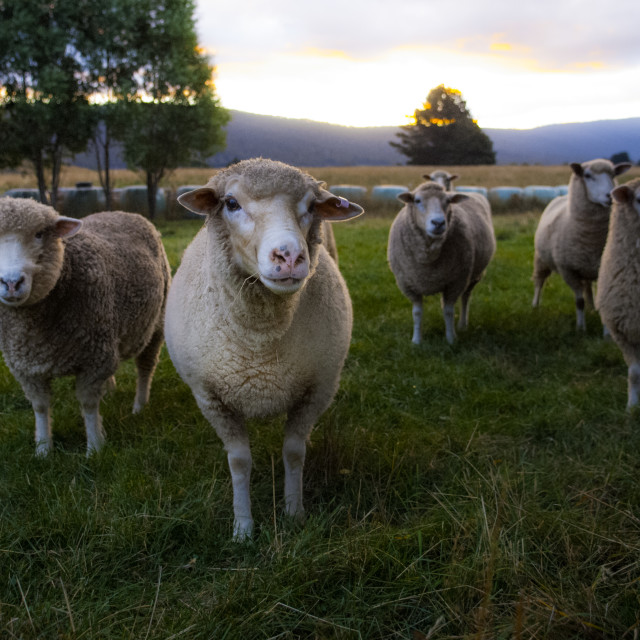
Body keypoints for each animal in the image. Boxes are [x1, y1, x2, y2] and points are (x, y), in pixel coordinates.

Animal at [0, 199, 171, 456]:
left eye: (39, 234)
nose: (11, 283)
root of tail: (118, 211)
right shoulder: (26, 368)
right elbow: (40, 407)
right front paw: (43, 449)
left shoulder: (94, 359)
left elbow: (88, 405)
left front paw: (95, 448)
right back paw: (109, 391)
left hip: (155, 324)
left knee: (145, 367)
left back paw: (139, 405)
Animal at [164, 158, 364, 536]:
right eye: (230, 203)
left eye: (311, 206)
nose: (289, 256)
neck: (261, 341)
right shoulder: (212, 398)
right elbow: (240, 462)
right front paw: (243, 527)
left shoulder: (316, 391)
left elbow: (294, 453)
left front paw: (294, 512)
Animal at [384, 179, 496, 344]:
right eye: (417, 201)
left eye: (448, 201)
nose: (438, 223)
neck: (428, 258)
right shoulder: (409, 284)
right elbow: (417, 313)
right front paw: (416, 341)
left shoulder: (455, 282)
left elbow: (448, 312)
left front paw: (450, 339)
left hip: (473, 276)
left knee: (465, 298)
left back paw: (462, 324)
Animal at [528, 156, 632, 330]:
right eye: (587, 175)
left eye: (613, 174)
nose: (609, 196)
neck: (593, 240)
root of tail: (562, 196)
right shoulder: (569, 270)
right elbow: (579, 301)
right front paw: (581, 328)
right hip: (541, 259)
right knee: (539, 281)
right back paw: (535, 305)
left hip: (588, 268)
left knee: (588, 287)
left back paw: (592, 308)